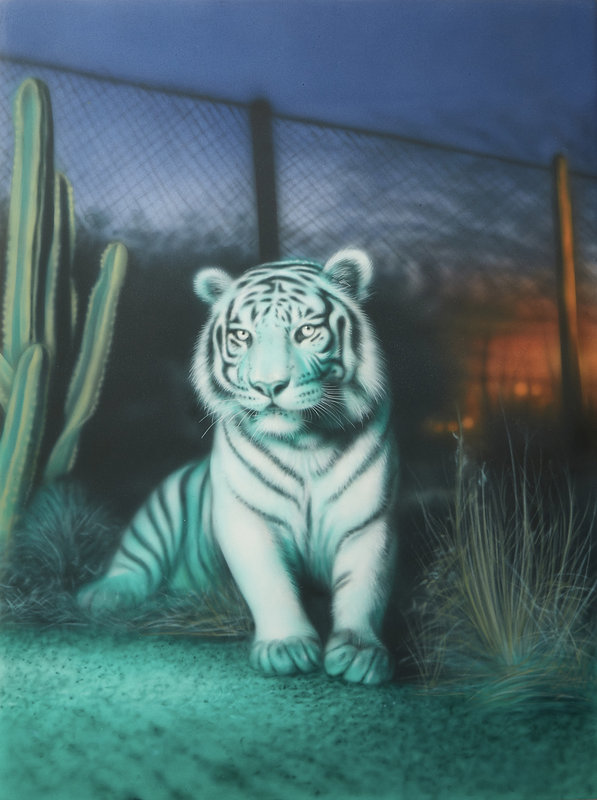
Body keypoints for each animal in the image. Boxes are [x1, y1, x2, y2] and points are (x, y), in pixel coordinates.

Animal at [77, 249, 399, 685]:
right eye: (243, 336)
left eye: (306, 332)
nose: (269, 386)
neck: (305, 442)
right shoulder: (247, 518)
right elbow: (270, 583)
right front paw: (286, 647)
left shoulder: (369, 519)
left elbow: (365, 587)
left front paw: (359, 656)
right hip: (159, 512)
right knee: (133, 564)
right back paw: (101, 596)